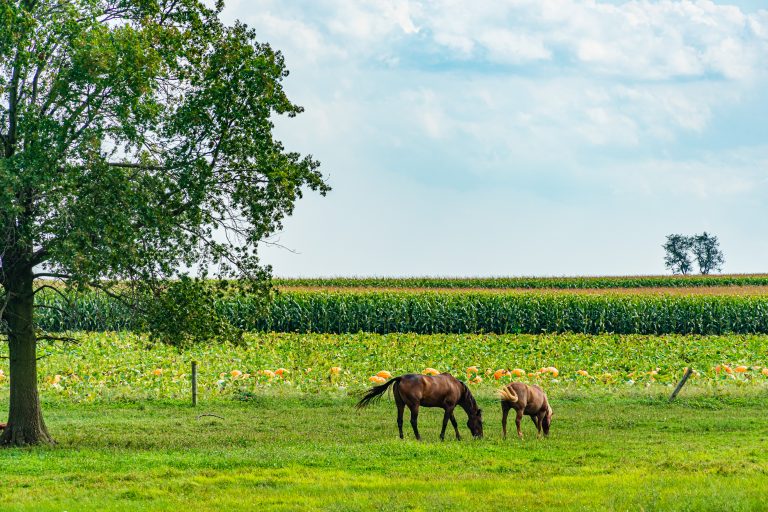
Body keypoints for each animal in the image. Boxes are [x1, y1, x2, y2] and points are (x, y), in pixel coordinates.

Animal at [356, 372, 484, 440]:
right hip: (414, 405)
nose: (480, 437)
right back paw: (419, 437)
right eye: (480, 421)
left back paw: (402, 437)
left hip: (400, 404)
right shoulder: (449, 407)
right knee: (413, 421)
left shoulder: (450, 408)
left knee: (400, 420)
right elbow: (446, 422)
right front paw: (442, 437)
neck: (457, 386)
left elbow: (454, 422)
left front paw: (458, 437)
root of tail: (400, 378)